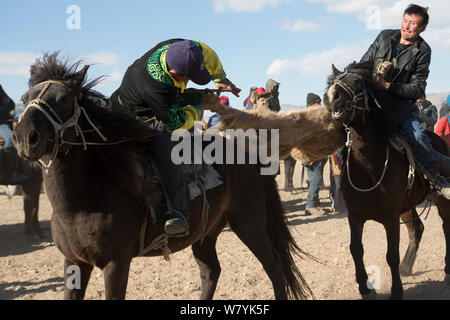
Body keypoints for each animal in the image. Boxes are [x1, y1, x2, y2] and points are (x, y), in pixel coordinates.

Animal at [11, 52, 312, 300]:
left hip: (250, 223)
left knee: (274, 269)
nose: (25, 137)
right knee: (211, 271)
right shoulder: (74, 264)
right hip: (206, 232)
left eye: (64, 99)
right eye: (24, 100)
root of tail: (248, 154)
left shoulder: (116, 263)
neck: (83, 201)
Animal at [324, 60, 450, 300]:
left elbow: (391, 254)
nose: (330, 96)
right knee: (417, 228)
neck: (368, 170)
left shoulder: (390, 218)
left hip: (441, 200)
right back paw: (406, 266)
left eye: (357, 83)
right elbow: (356, 249)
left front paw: (396, 291)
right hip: (407, 206)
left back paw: (447, 270)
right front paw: (365, 288)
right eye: (332, 81)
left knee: (446, 228)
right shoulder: (355, 216)